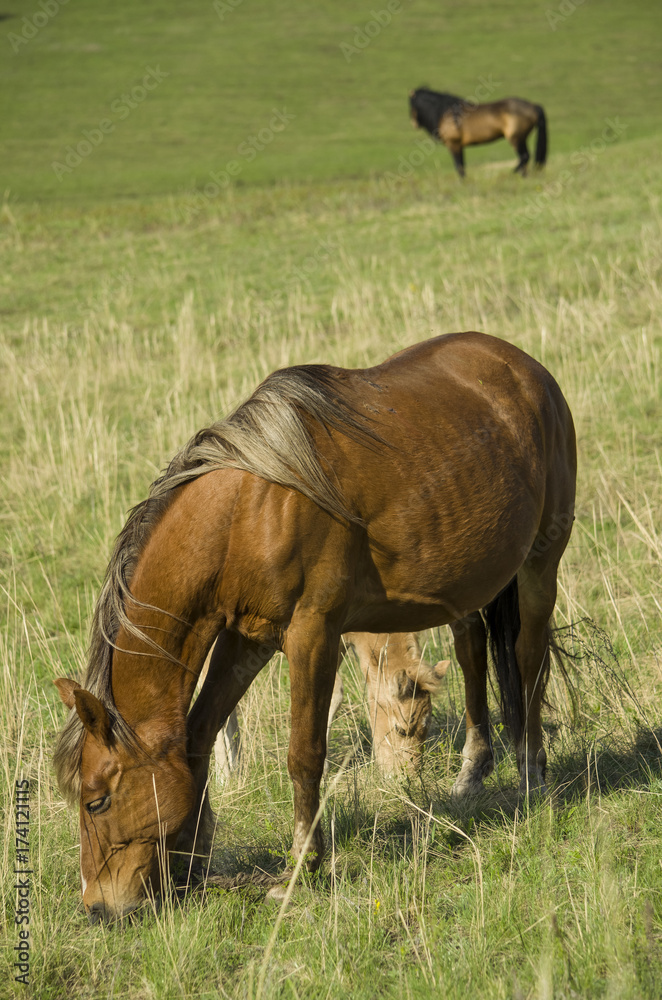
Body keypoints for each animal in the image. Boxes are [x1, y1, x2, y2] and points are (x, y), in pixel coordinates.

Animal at [409, 87, 547, 177]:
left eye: (411, 105)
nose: (414, 124)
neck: (446, 113)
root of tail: (533, 106)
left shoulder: (454, 144)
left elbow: (459, 167)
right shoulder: (459, 146)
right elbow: (462, 166)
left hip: (516, 138)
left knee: (524, 157)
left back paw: (512, 173)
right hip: (522, 138)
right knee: (525, 158)